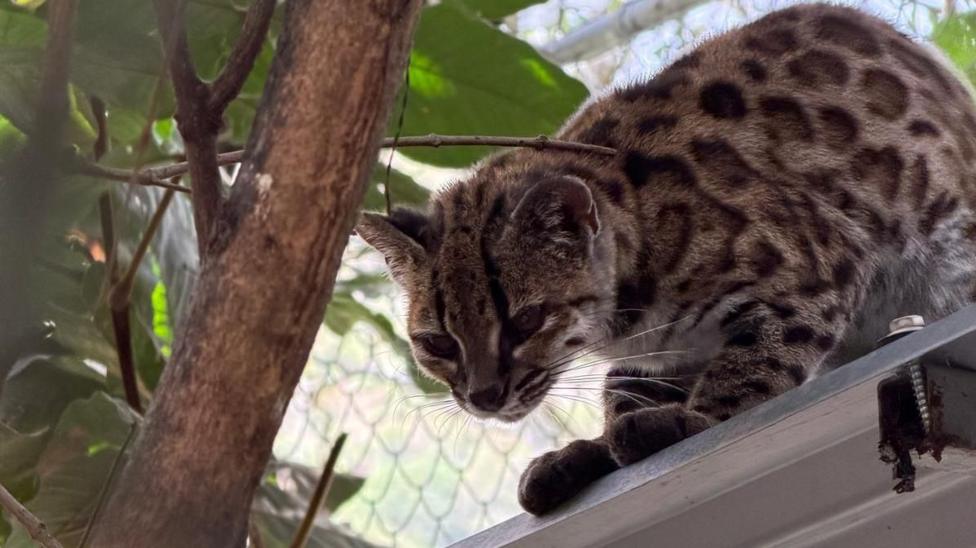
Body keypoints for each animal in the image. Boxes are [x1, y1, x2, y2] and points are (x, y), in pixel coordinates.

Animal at [356, 3, 976, 516]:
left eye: (527, 320)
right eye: (438, 343)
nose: (484, 398)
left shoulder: (816, 266)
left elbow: (756, 363)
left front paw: (696, 418)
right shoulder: (660, 353)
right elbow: (623, 390)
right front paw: (592, 448)